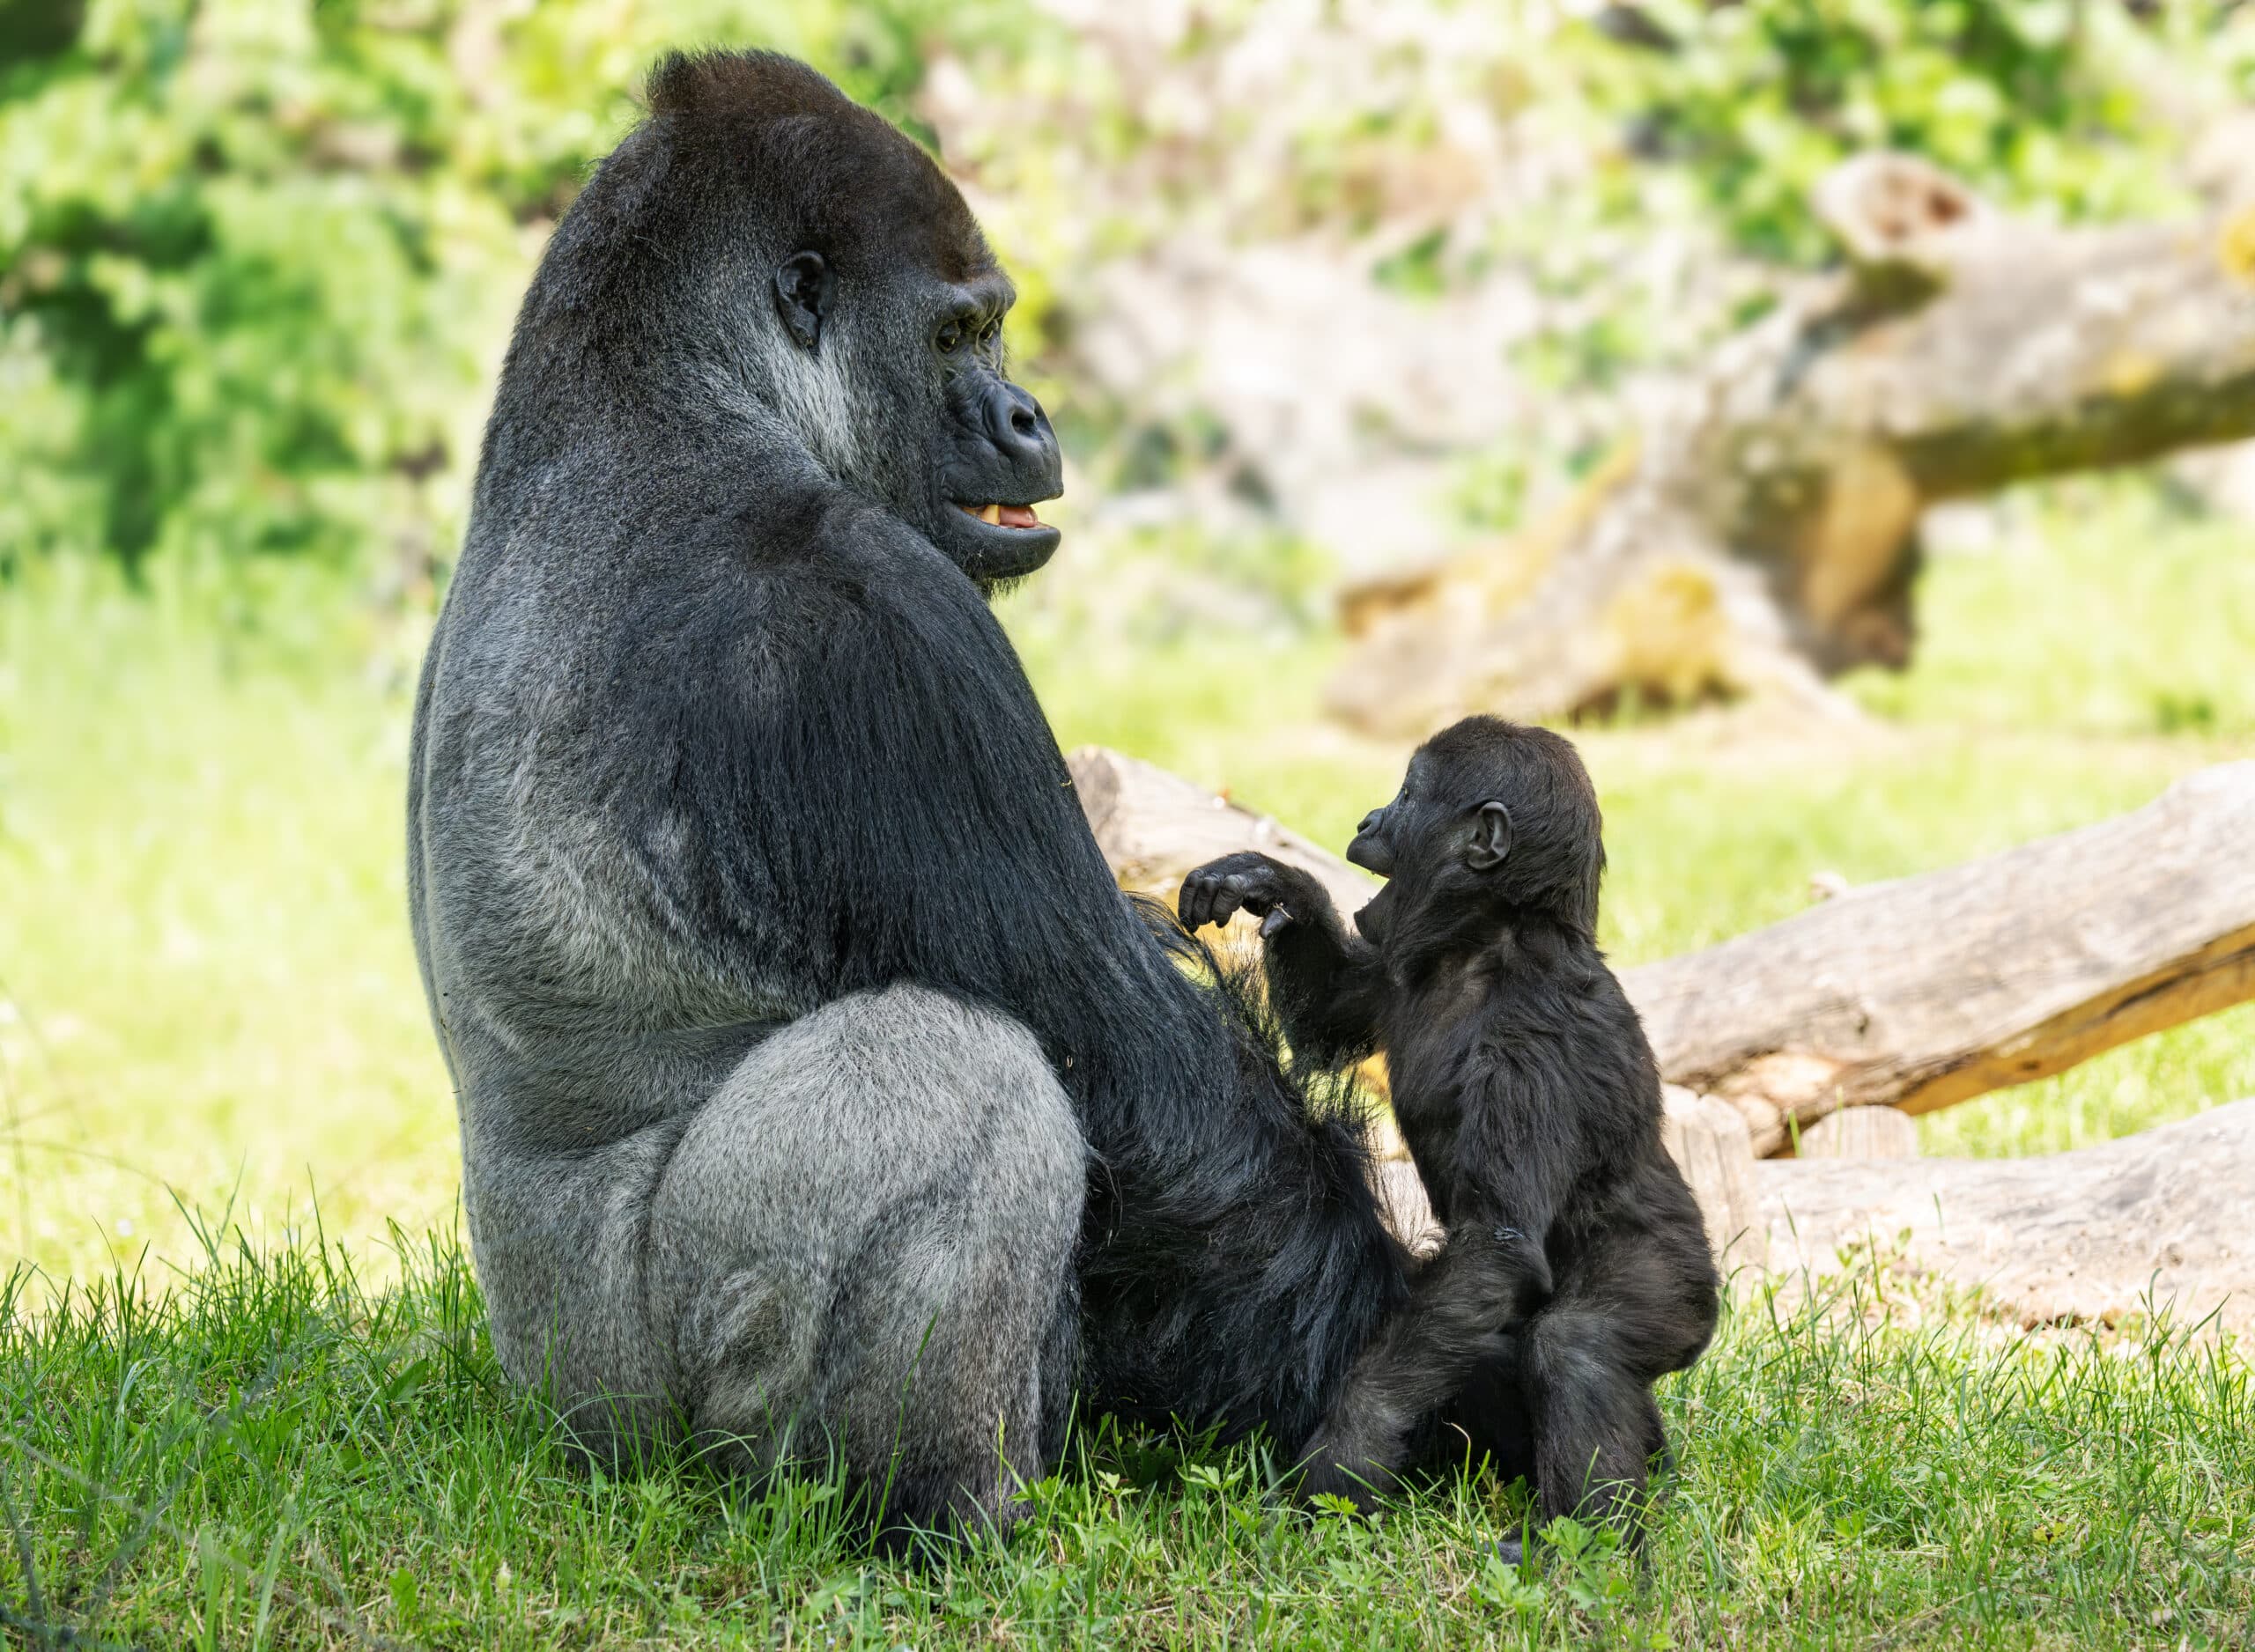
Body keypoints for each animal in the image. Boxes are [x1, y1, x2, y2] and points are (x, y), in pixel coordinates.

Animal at [408, 49, 1414, 1552]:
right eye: (959, 336)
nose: (1028, 416)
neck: (655, 394)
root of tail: (547, 1414)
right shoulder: (867, 616)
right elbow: (1141, 1076)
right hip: (650, 1419)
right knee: (962, 1077)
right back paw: (941, 1508)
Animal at [1178, 716, 1720, 1544]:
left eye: (1407, 796)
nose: (1371, 818)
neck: (1489, 939)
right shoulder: (1394, 968)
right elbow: (1326, 1018)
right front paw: (1273, 882)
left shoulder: (1528, 1054)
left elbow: (1495, 1247)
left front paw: (1350, 1446)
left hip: (1682, 1285)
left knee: (1579, 1348)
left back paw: (1584, 1547)